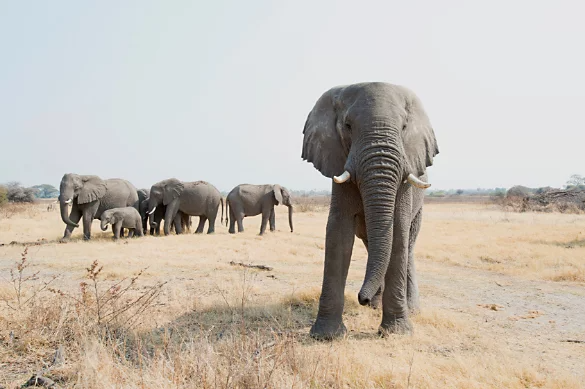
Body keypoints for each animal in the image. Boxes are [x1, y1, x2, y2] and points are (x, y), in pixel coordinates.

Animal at [302, 82, 438, 340]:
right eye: (347, 126)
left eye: (403, 127)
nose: (361, 299)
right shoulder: (338, 160)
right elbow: (338, 232)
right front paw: (326, 336)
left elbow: (398, 233)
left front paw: (396, 333)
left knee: (408, 246)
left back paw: (412, 310)